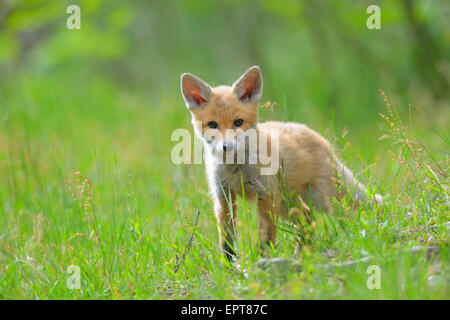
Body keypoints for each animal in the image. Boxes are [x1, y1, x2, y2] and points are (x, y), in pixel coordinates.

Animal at [181, 66, 382, 262]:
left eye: (238, 122)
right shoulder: (224, 197)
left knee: (360, 208)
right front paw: (229, 265)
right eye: (212, 125)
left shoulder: (266, 196)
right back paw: (304, 253)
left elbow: (265, 237)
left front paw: (262, 261)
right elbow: (227, 240)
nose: (226, 147)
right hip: (290, 205)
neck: (235, 170)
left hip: (327, 200)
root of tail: (320, 139)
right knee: (308, 222)